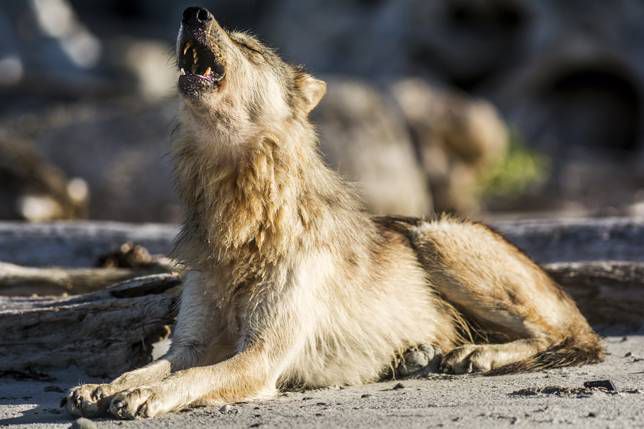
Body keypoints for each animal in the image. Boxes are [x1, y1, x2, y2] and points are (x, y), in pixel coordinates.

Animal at [64, 7, 600, 418]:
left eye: (248, 47)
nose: (193, 11)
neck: (240, 214)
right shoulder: (190, 345)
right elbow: (150, 366)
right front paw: (105, 385)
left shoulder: (260, 356)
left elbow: (191, 379)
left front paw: (142, 396)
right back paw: (422, 354)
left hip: (435, 236)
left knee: (562, 336)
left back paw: (478, 354)